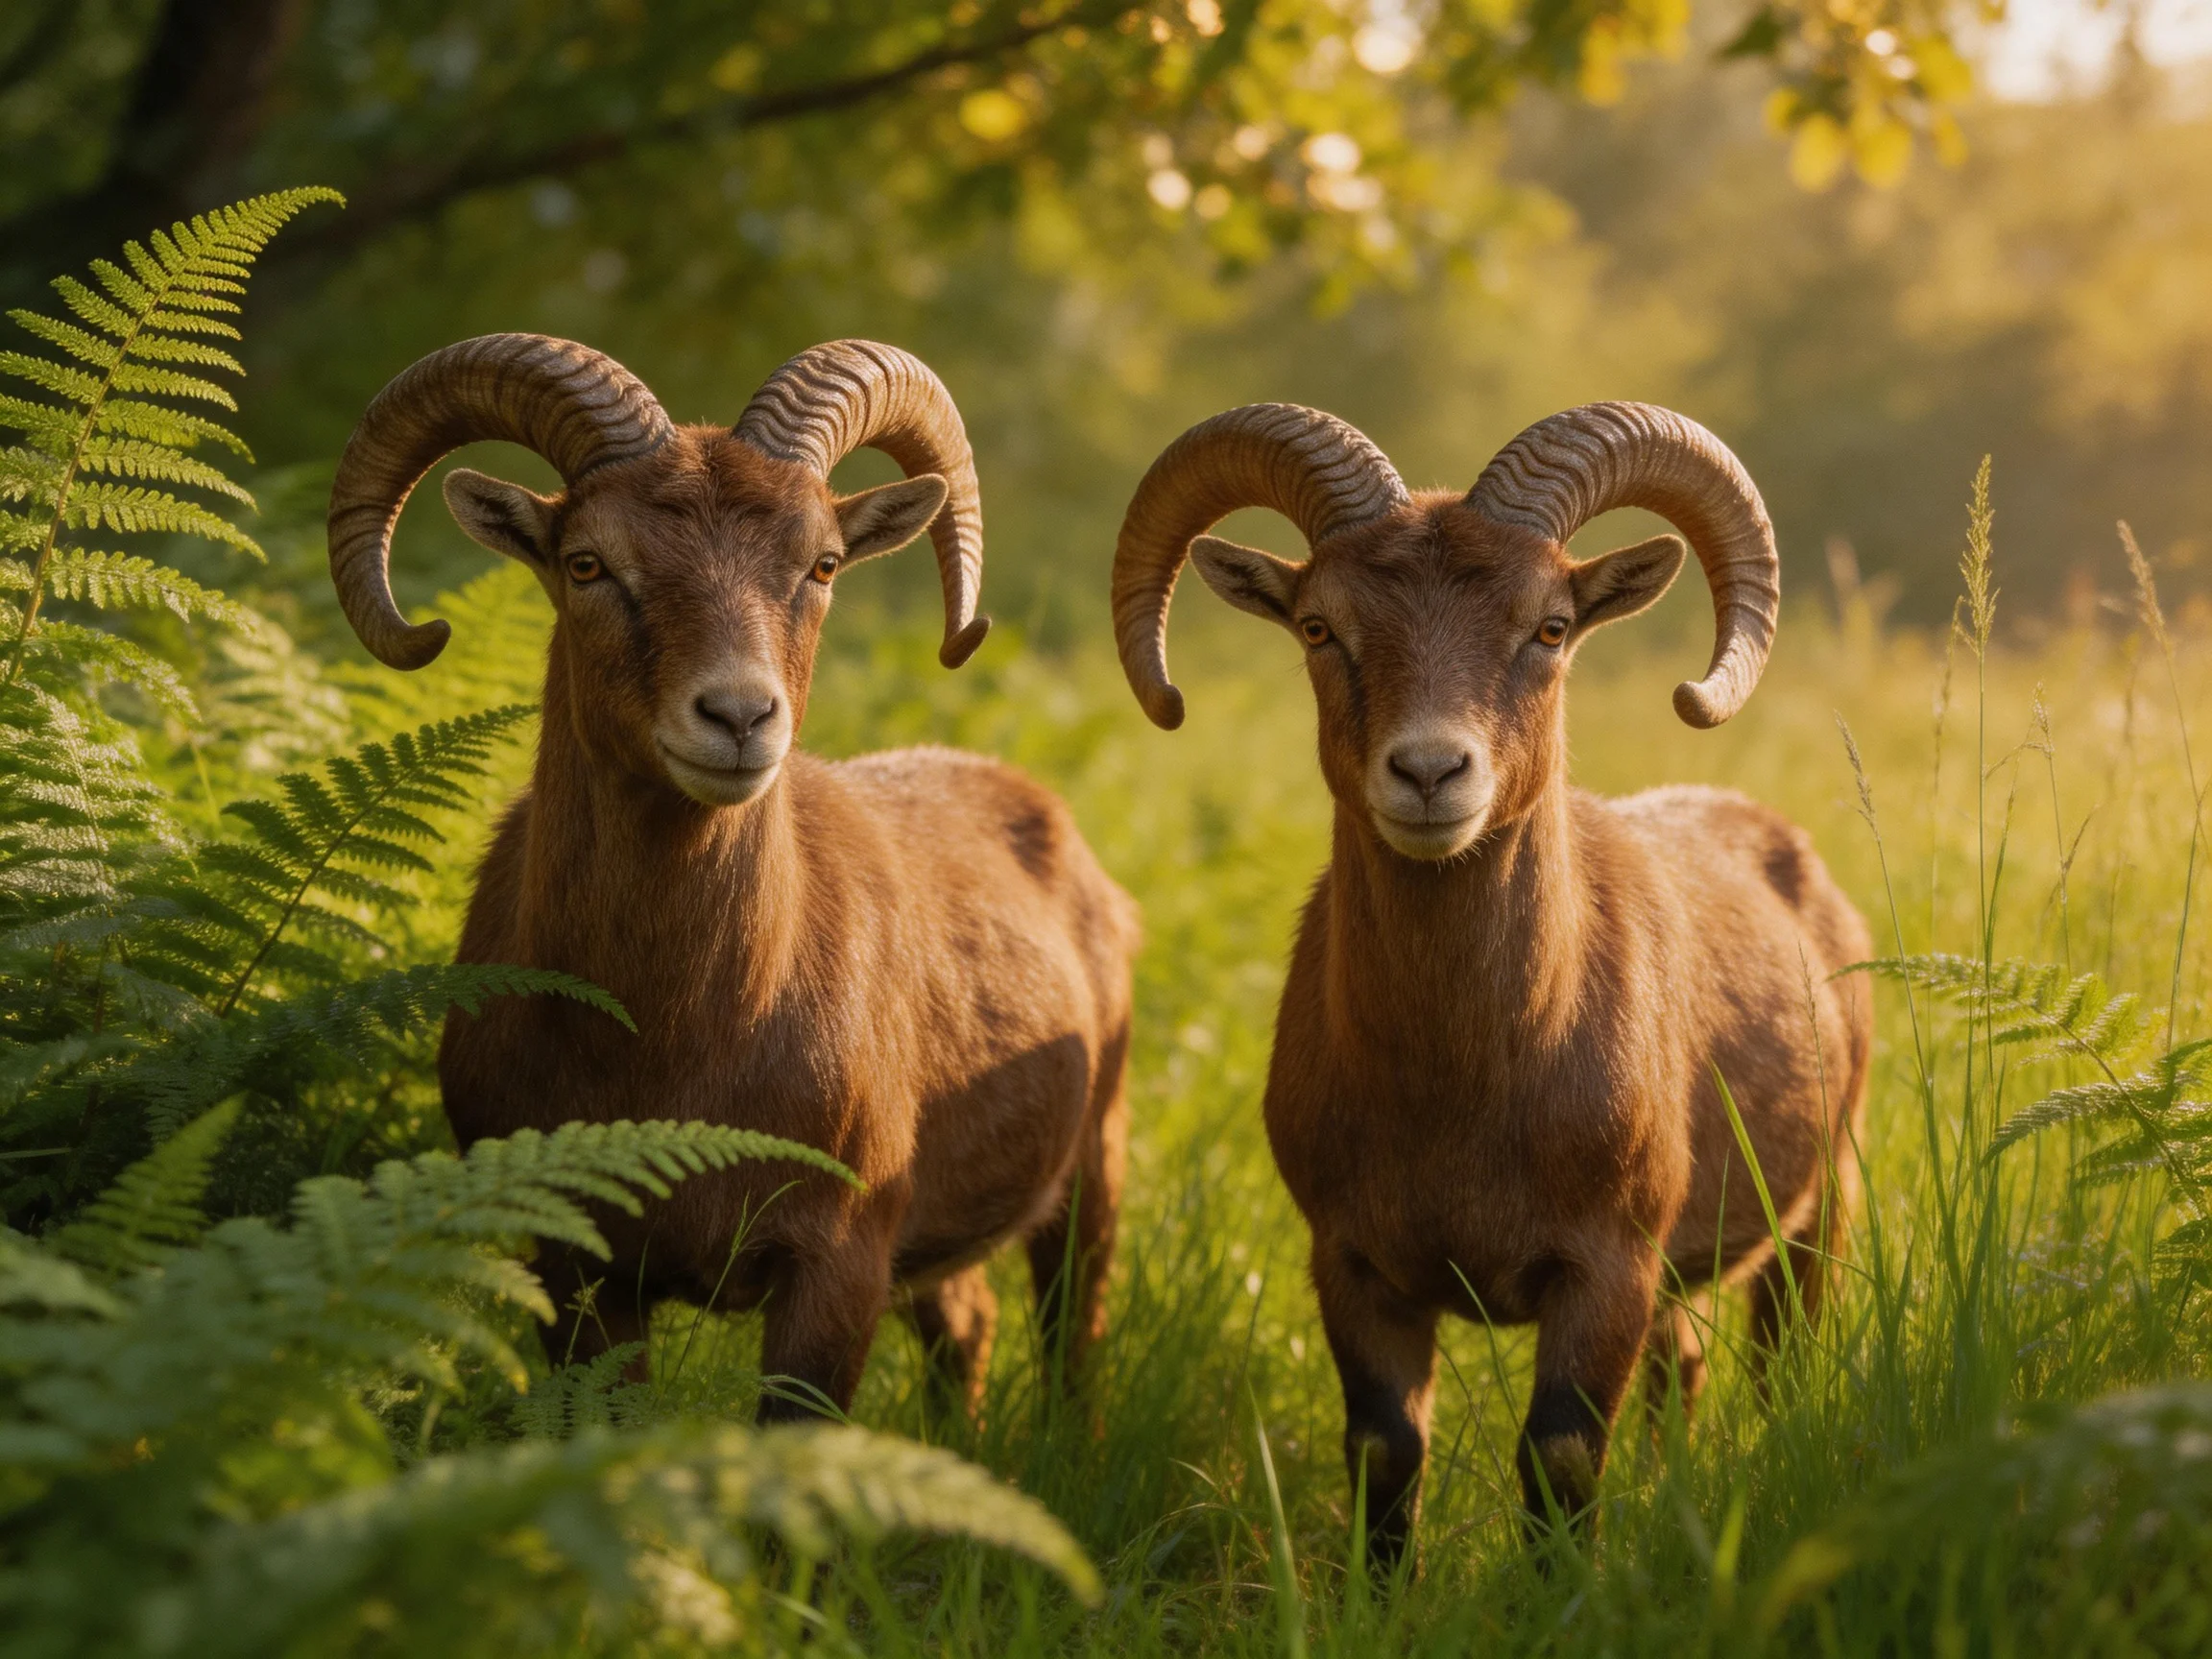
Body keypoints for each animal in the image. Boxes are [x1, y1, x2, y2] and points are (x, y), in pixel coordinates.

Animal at [326, 334, 1138, 1420]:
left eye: (822, 563)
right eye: (588, 562)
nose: (739, 717)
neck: (680, 1043)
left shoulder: (837, 1263)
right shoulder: (580, 1273)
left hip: (1093, 1169)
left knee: (1070, 1340)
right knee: (968, 1325)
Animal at [1109, 401, 1871, 1565]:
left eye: (1549, 628)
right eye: (1319, 627)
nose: (1430, 773)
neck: (1464, 1086)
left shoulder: (1605, 1268)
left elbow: (1560, 1458)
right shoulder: (1356, 1266)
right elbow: (1386, 1452)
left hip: (1820, 1205)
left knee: (1774, 1362)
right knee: (1684, 1371)